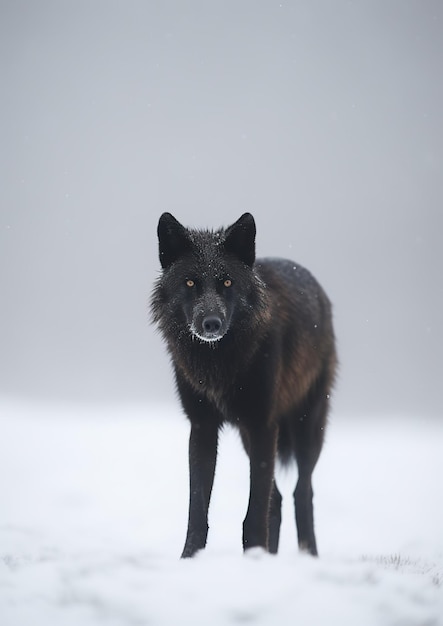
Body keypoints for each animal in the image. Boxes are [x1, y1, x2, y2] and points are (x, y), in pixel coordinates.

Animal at [151, 213, 338, 556]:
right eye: (190, 283)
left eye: (227, 282)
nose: (211, 323)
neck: (218, 360)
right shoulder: (203, 426)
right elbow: (197, 510)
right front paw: (189, 559)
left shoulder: (263, 424)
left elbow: (255, 513)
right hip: (249, 438)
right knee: (278, 500)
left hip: (306, 429)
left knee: (301, 493)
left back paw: (307, 556)